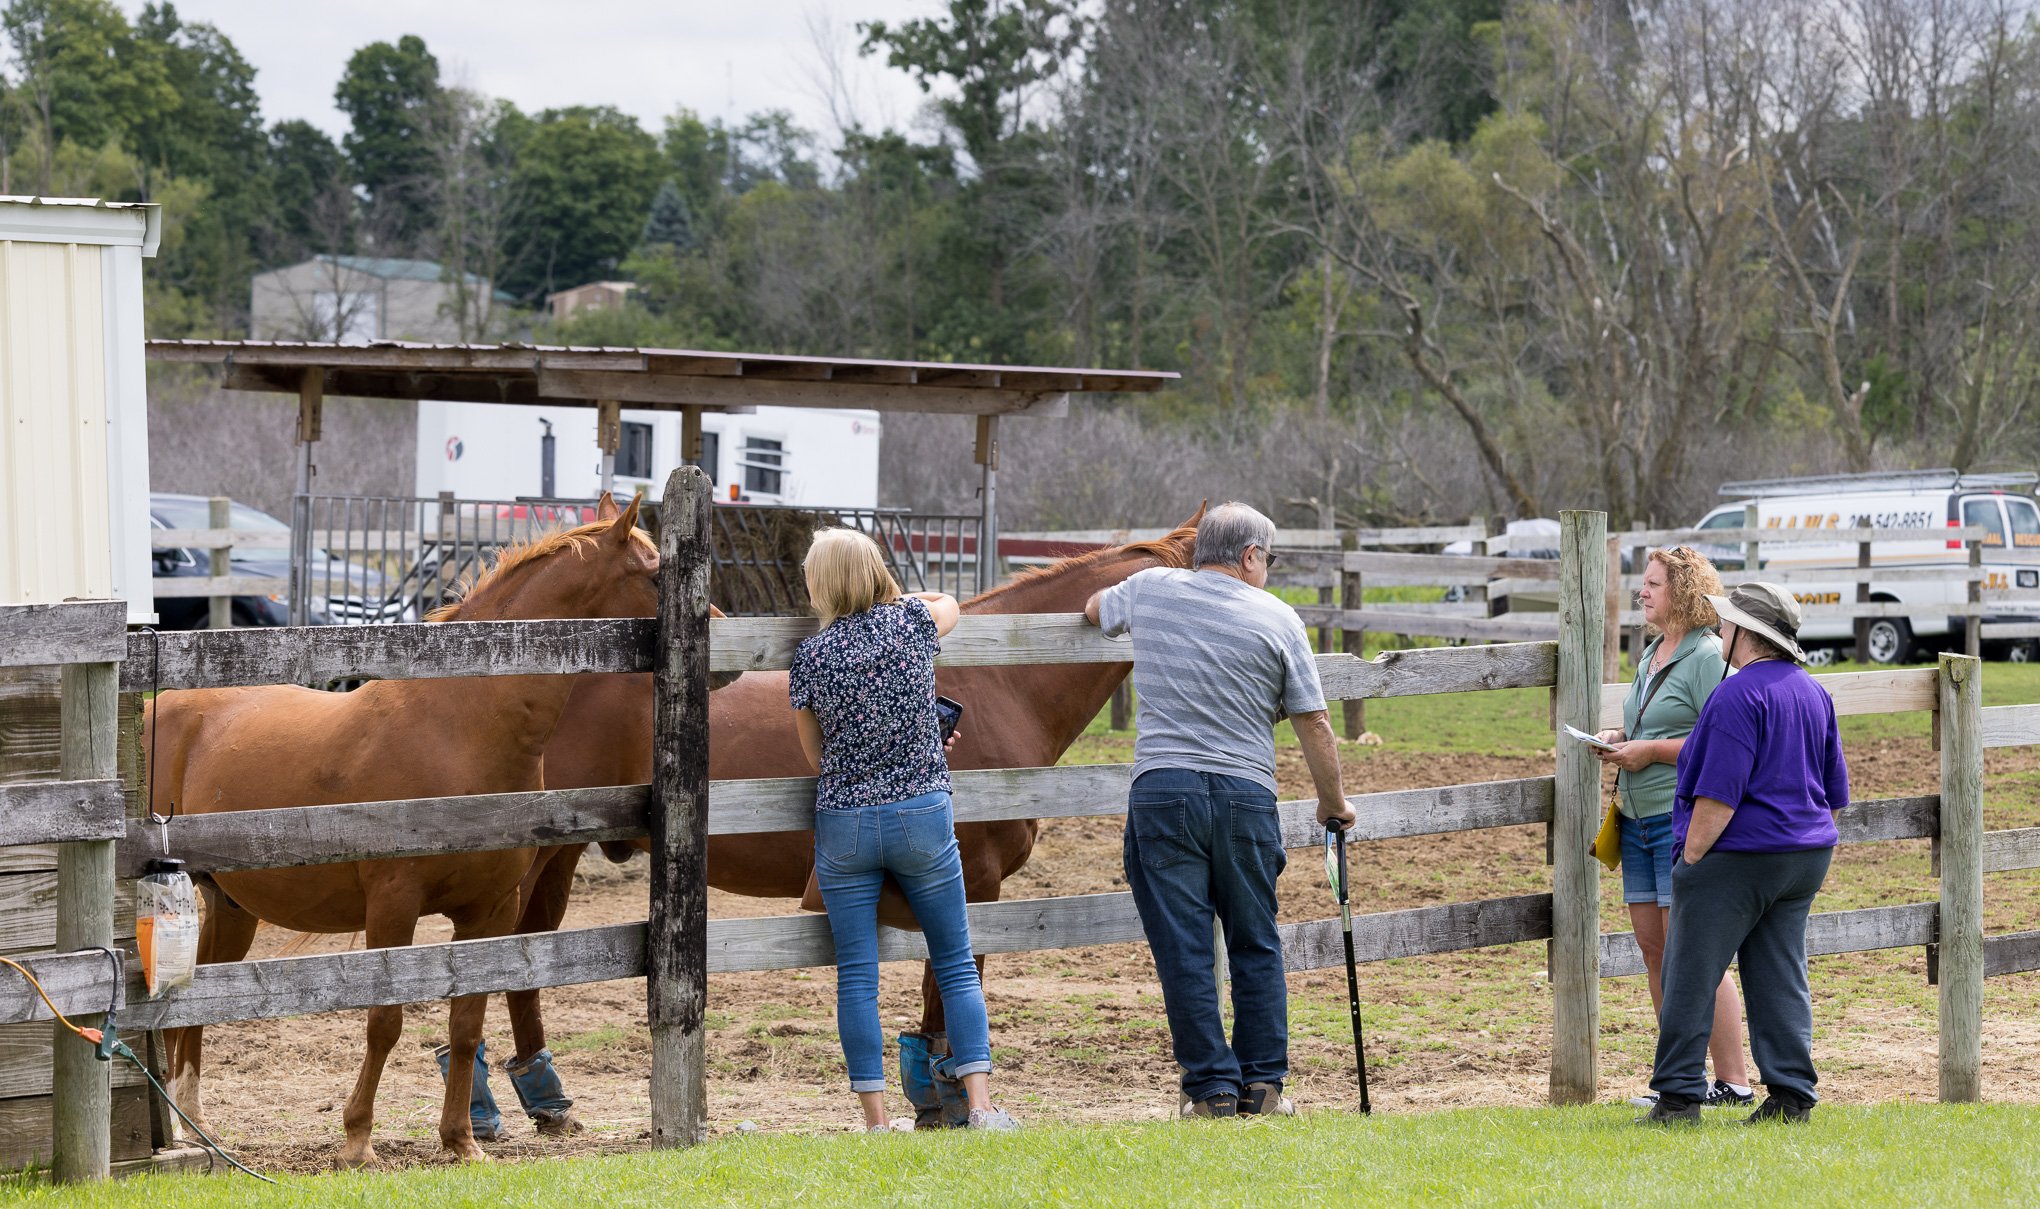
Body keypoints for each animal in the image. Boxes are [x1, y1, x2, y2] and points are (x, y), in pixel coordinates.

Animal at [151, 489, 660, 1158]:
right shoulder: (392, 905)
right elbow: (384, 1021)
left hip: (230, 905)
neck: (459, 727)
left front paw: (461, 1141)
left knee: (194, 1008)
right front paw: (356, 1140)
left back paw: (193, 1129)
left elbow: (467, 1024)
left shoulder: (490, 912)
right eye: (654, 572)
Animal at [493, 503, 1199, 1117]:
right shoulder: (975, 884)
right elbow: (947, 992)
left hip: (560, 855)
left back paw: (541, 1097)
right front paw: (947, 1099)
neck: (1004, 680)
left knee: (527, 953)